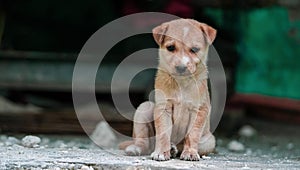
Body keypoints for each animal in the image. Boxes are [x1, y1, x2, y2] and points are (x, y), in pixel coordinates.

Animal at [119, 18, 216, 161]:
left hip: (210, 141)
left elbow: (192, 134)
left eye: (194, 49)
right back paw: (137, 148)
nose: (181, 67)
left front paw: (190, 153)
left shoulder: (200, 109)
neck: (181, 83)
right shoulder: (163, 107)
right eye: (171, 47)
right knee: (144, 142)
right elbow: (163, 132)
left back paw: (174, 149)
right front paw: (161, 152)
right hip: (144, 109)